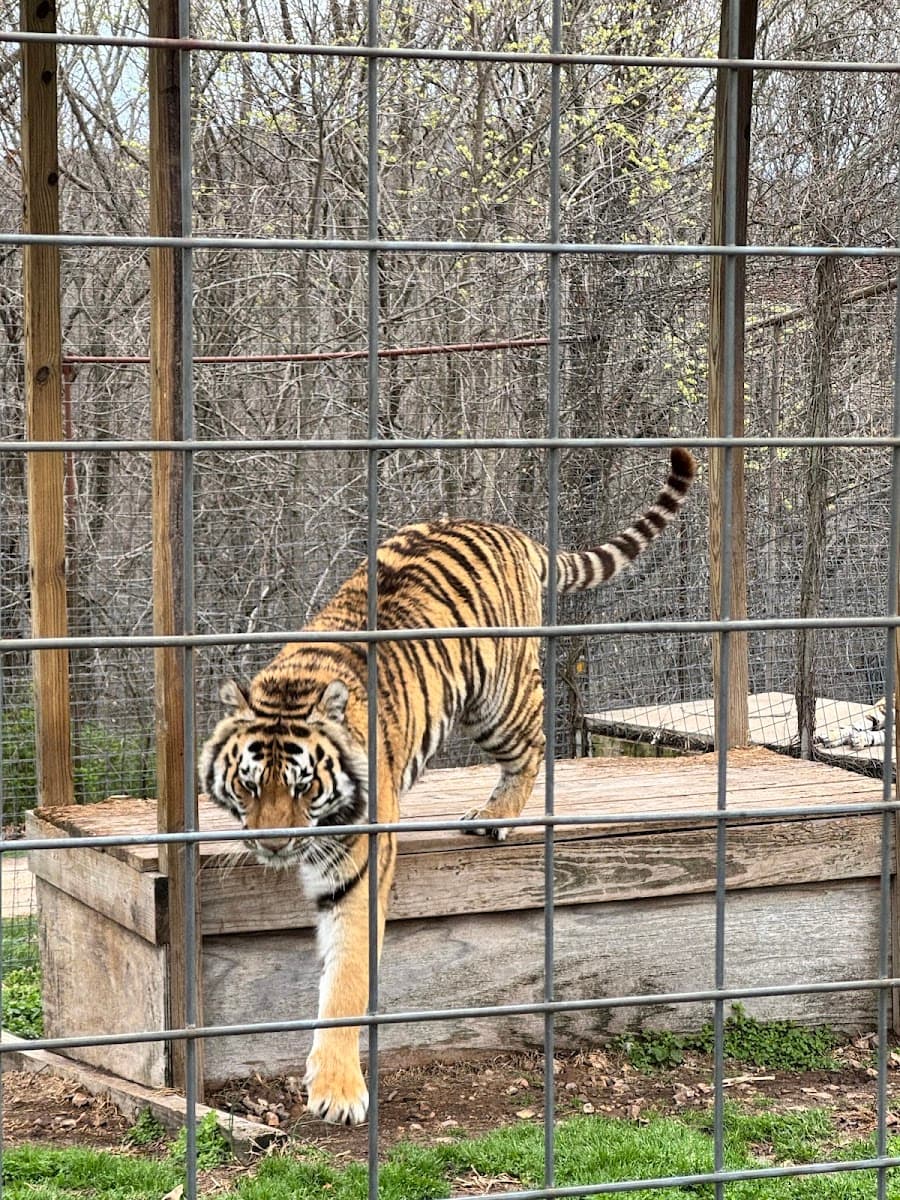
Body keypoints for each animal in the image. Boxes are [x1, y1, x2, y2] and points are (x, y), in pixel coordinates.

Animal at [198, 447, 696, 1126]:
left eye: (303, 788)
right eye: (249, 787)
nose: (273, 846)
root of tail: (513, 533)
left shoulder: (359, 868)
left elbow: (347, 978)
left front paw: (337, 1090)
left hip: (499, 701)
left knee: (538, 742)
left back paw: (495, 816)